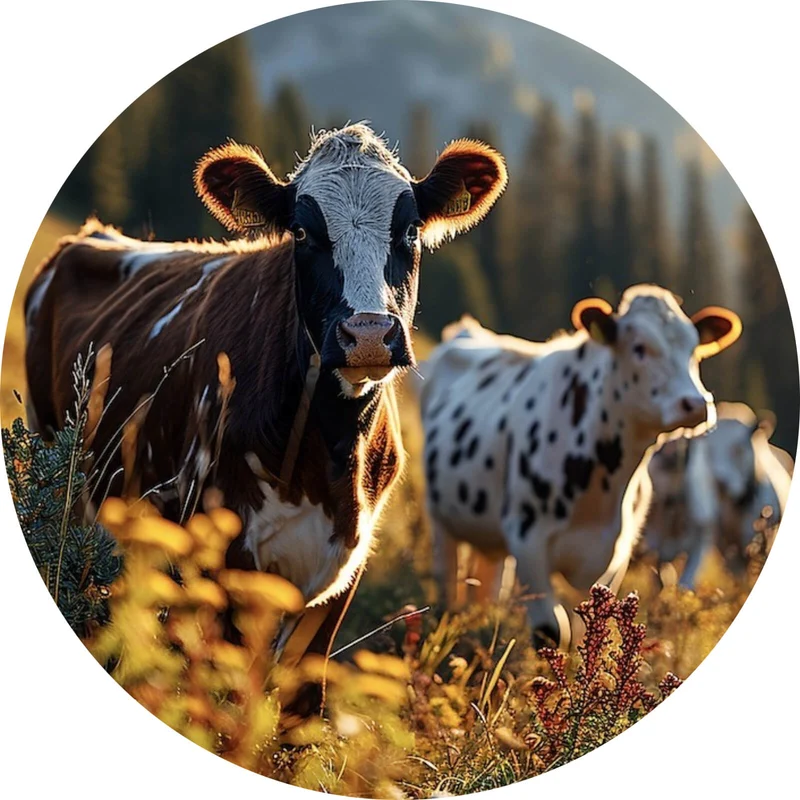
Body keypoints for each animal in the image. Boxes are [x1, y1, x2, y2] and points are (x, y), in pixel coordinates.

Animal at [23, 123, 508, 662]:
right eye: (301, 232)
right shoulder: (226, 553)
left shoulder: (345, 567)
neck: (330, 449)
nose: (366, 334)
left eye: (410, 230)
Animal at [417, 284, 742, 649]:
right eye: (639, 347)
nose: (696, 404)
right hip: (440, 516)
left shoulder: (617, 552)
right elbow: (553, 631)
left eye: (694, 350)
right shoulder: (527, 538)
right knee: (447, 574)